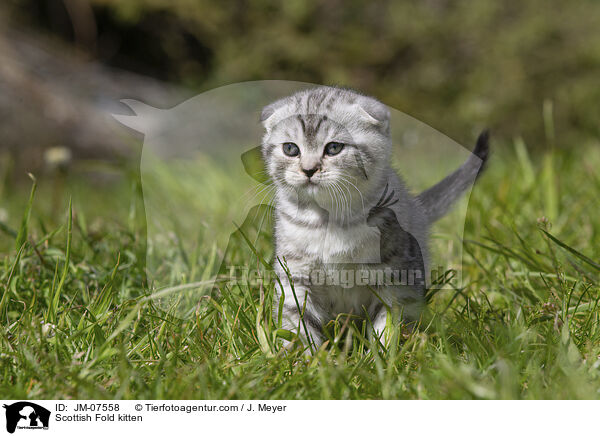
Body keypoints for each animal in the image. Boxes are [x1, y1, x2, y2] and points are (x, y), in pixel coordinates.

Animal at [260, 86, 490, 350]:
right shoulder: (296, 276)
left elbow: (387, 321)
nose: (308, 169)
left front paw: (383, 355)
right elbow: (299, 322)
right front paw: (304, 357)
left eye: (333, 148)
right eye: (290, 149)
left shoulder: (394, 275)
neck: (329, 219)